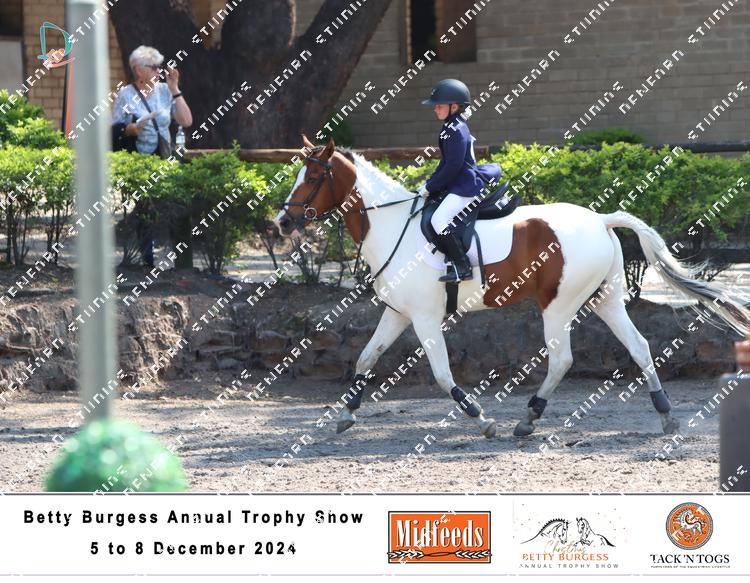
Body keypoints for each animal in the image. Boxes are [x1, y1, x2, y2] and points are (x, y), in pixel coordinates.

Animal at [274, 135, 750, 439]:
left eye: (312, 179)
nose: (283, 221)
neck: (393, 225)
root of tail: (600, 219)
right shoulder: (398, 314)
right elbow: (366, 357)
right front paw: (346, 415)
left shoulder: (425, 318)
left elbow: (443, 373)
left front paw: (481, 419)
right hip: (606, 300)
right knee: (639, 346)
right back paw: (665, 415)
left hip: (558, 306)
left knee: (562, 359)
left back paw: (528, 418)